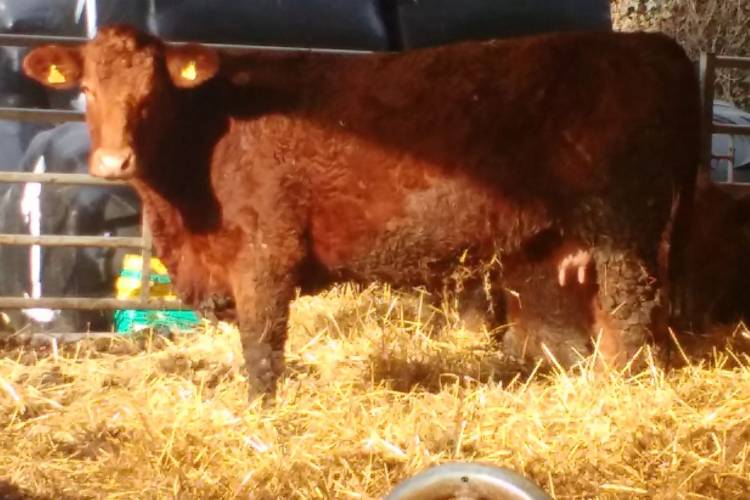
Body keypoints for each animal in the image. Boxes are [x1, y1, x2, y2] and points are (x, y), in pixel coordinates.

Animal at [22, 25, 700, 400]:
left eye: (152, 92)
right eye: (86, 90)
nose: (114, 161)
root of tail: (652, 46)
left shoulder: (266, 252)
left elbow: (261, 346)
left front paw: (260, 413)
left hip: (622, 227)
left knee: (631, 313)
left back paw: (614, 391)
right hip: (561, 245)